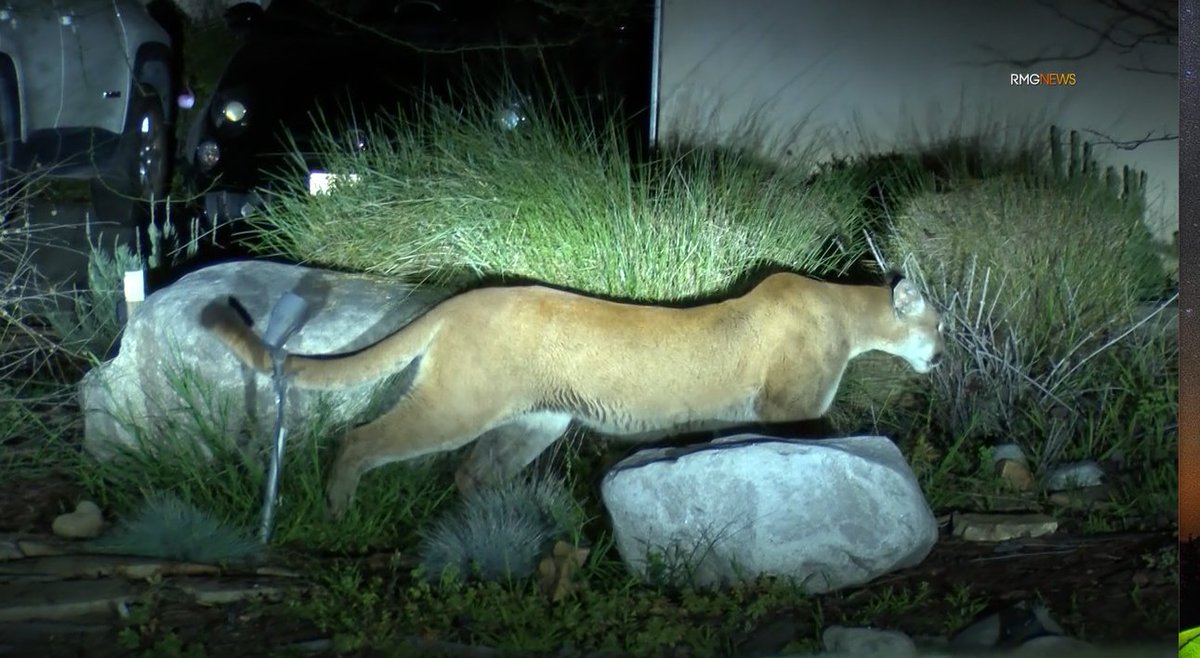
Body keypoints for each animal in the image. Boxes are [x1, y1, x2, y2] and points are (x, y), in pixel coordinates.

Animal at [201, 272, 940, 518]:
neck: (847, 310)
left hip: (538, 423)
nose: (941, 354)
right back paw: (339, 515)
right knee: (360, 440)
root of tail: (456, 303)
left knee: (473, 473)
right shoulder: (795, 411)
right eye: (938, 324)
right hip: (458, 405)